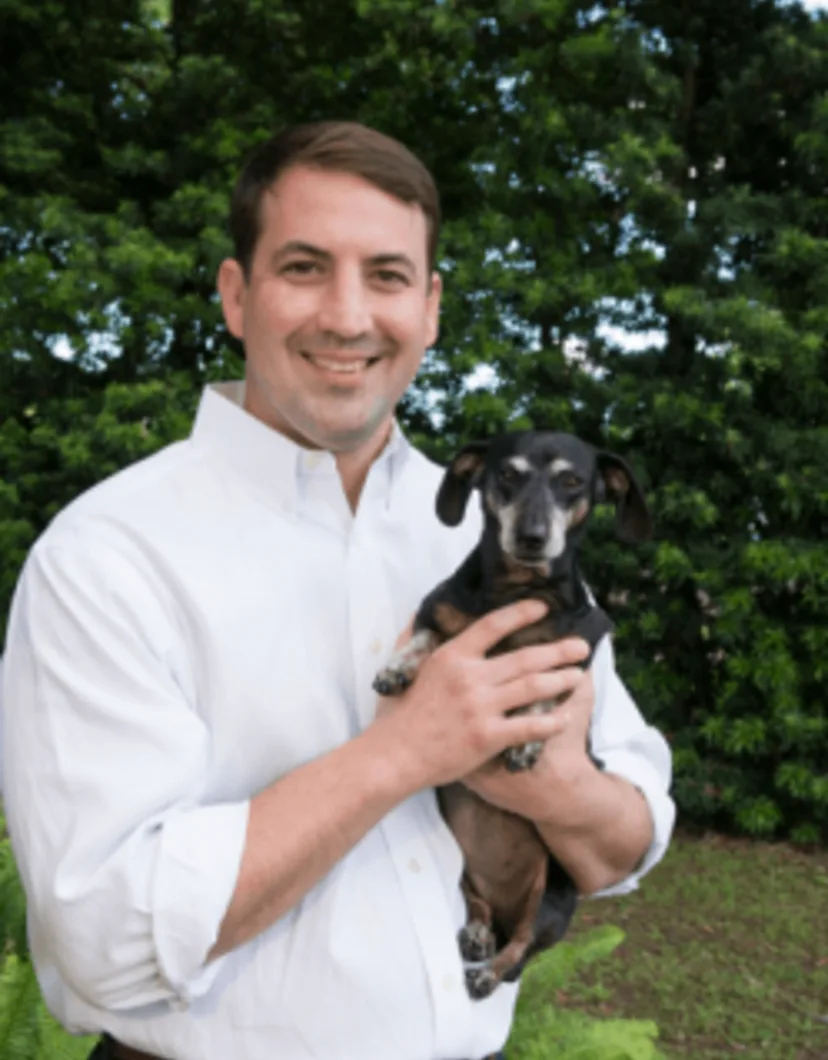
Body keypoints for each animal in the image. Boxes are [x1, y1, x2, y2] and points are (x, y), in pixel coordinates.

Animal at [375, 426, 653, 996]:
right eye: (506, 474)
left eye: (572, 481)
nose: (532, 536)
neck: (514, 591)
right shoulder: (436, 612)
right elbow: (424, 638)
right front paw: (398, 668)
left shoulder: (578, 645)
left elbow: (548, 692)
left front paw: (527, 740)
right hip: (465, 872)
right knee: (480, 908)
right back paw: (479, 934)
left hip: (552, 896)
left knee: (522, 950)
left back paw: (490, 971)